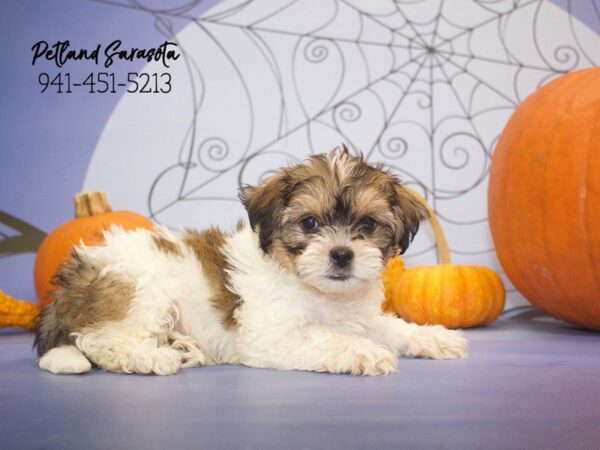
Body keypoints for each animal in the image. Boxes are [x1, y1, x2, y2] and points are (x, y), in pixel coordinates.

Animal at [34, 148, 468, 376]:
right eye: (310, 223)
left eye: (367, 224)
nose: (342, 254)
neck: (316, 291)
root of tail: (75, 274)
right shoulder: (271, 337)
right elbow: (327, 338)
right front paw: (364, 352)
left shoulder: (360, 316)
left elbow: (391, 327)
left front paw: (433, 337)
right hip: (140, 289)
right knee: (99, 340)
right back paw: (155, 357)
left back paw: (180, 347)